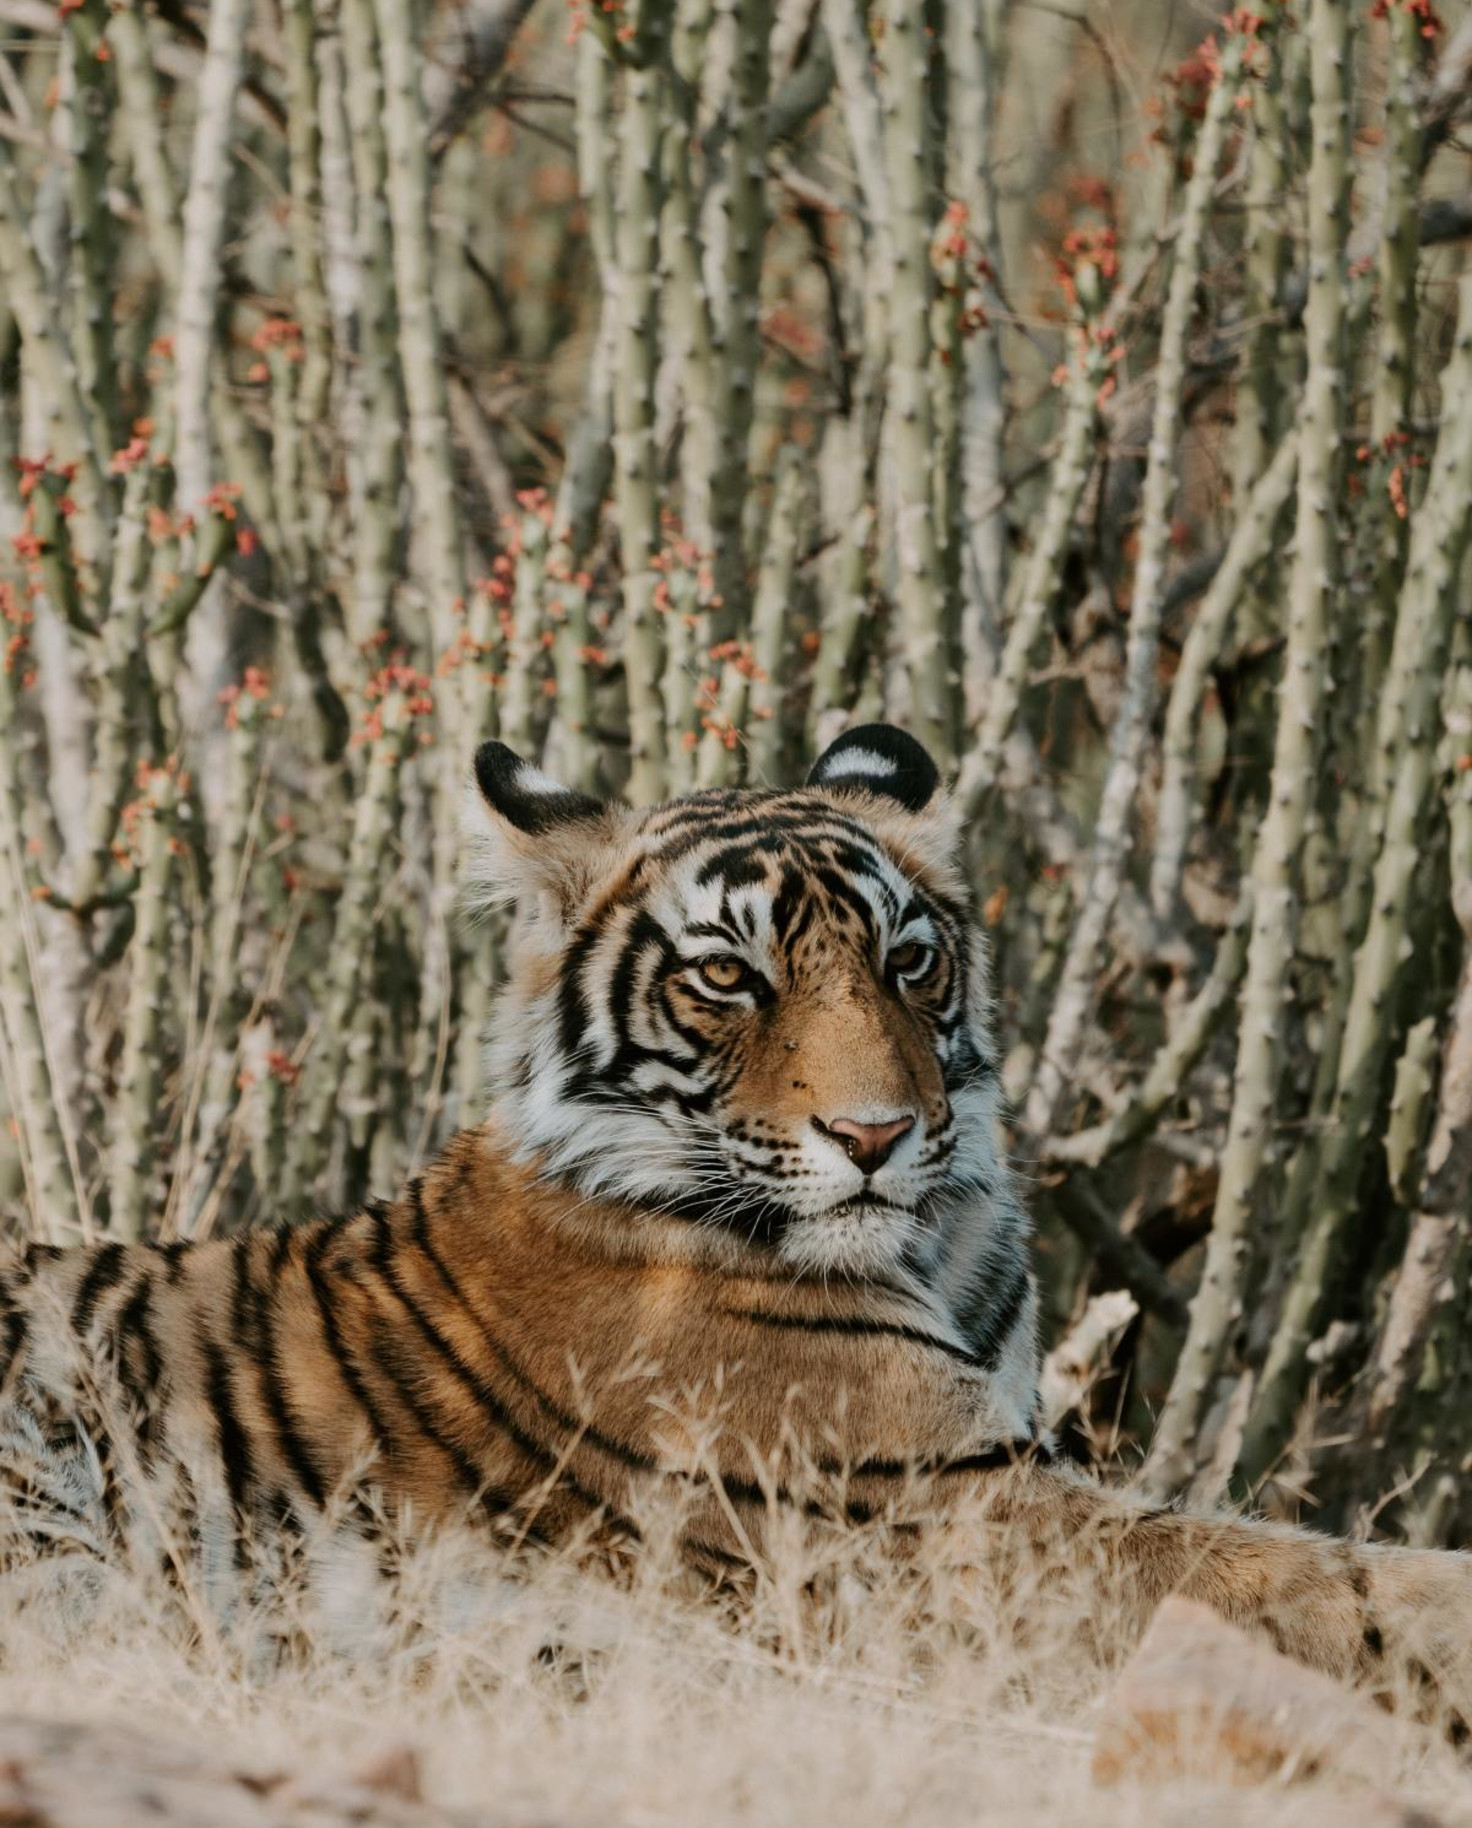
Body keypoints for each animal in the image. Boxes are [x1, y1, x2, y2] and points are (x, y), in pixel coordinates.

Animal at [2, 720, 1470, 1703]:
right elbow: (1319, 1582)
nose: (875, 1136)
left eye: (908, 960)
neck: (935, 1246)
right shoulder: (960, 1520)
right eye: (727, 977)